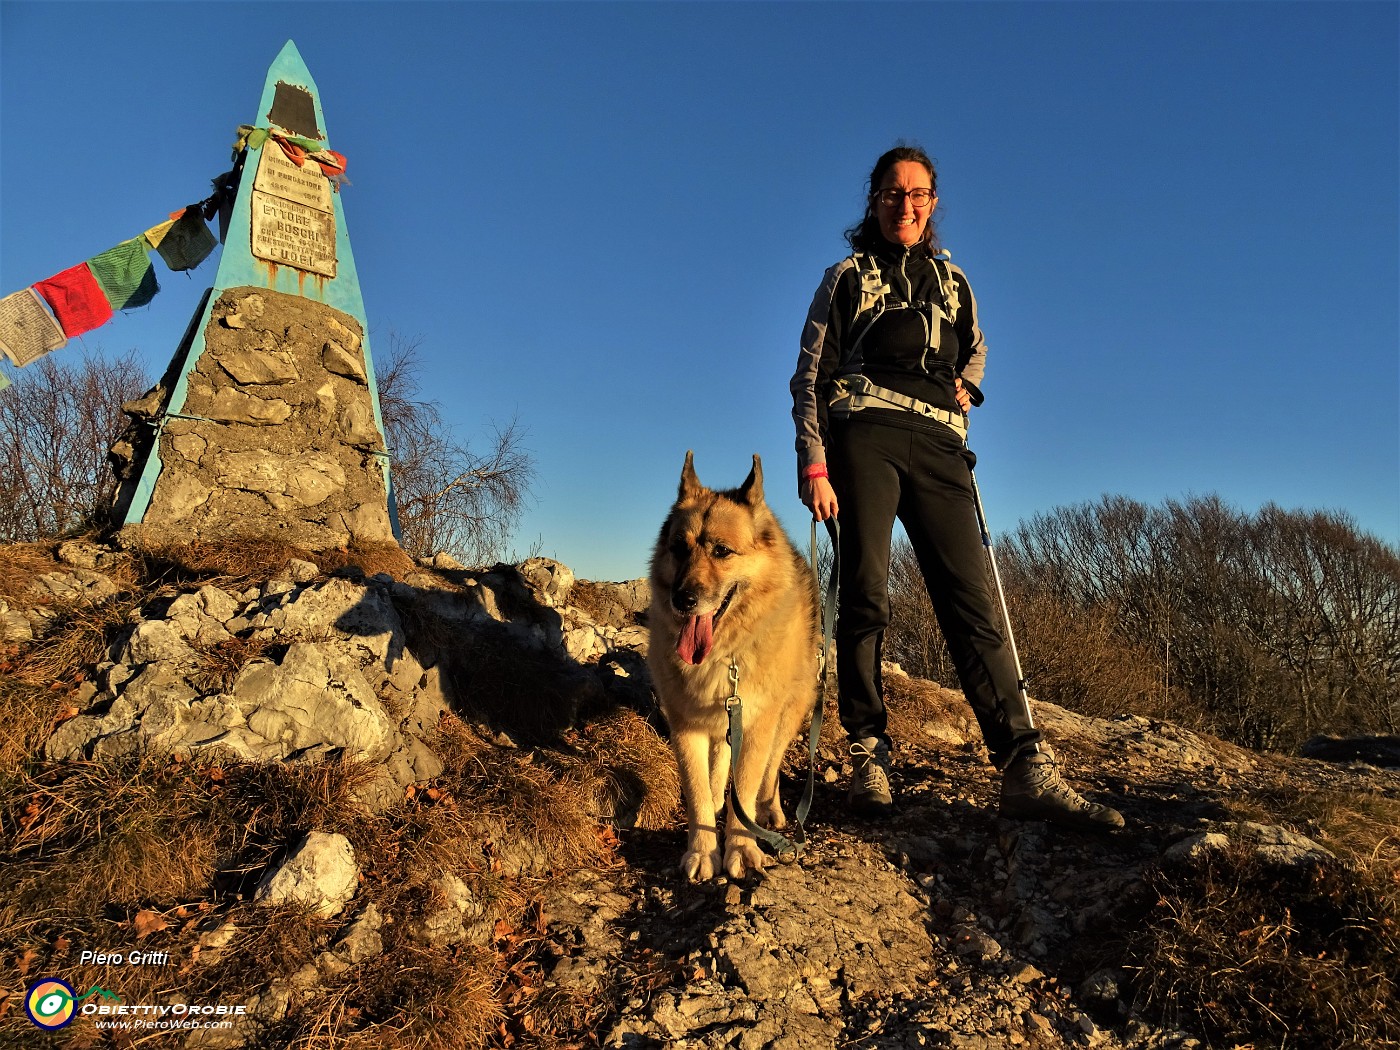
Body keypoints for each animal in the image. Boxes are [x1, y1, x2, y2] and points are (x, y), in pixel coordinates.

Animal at [646, 450, 817, 879]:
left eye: (722, 551)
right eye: (678, 548)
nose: (682, 600)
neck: (726, 653)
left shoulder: (757, 724)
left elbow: (748, 782)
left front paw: (740, 847)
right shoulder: (686, 725)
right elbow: (697, 792)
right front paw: (703, 849)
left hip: (788, 713)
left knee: (771, 770)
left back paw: (769, 808)